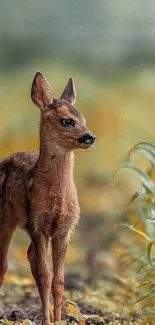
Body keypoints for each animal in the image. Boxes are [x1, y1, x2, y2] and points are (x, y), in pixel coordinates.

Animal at [0, 73, 95, 324]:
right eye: (67, 121)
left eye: (83, 118)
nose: (90, 137)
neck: (56, 202)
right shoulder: (37, 223)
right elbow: (45, 275)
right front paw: (45, 321)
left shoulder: (65, 228)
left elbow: (59, 280)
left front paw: (58, 320)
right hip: (6, 218)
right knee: (4, 265)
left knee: (30, 257)